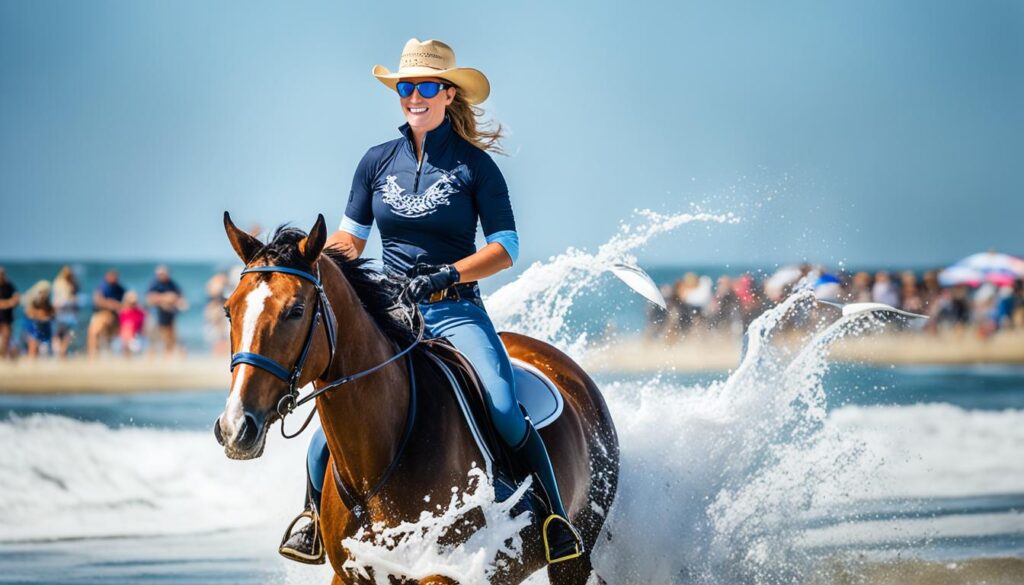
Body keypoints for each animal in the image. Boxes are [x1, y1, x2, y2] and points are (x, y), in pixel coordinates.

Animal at [211, 215, 618, 585]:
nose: (235, 427)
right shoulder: (348, 574)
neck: (378, 459)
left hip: (573, 559)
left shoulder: (442, 572)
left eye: (295, 311)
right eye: (229, 310)